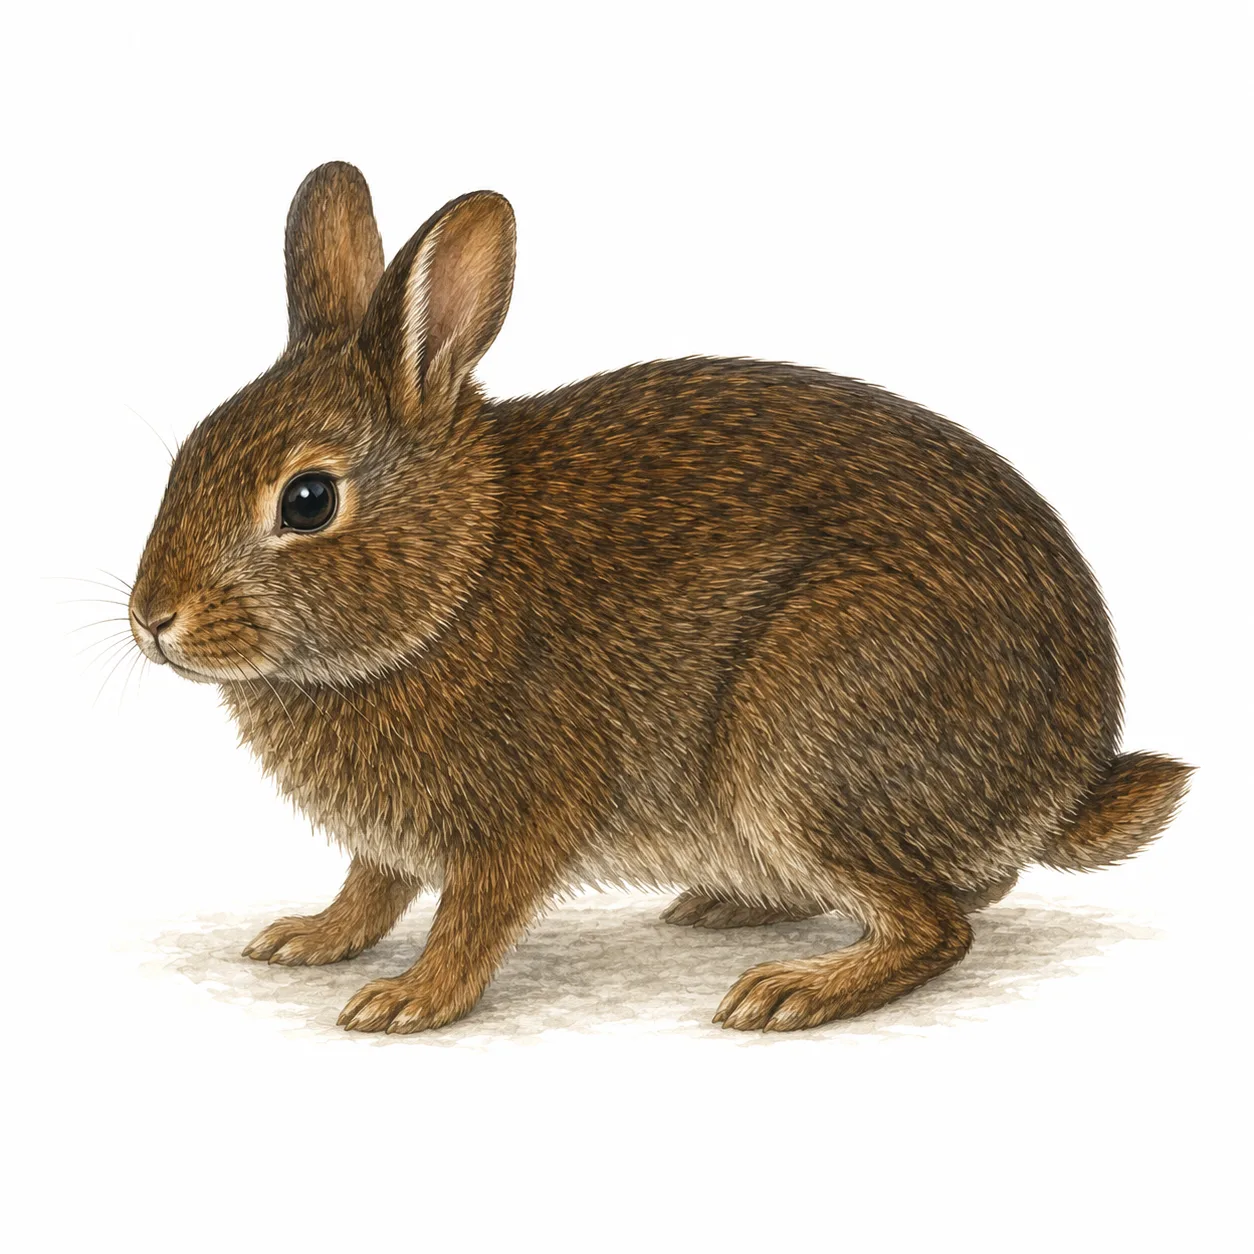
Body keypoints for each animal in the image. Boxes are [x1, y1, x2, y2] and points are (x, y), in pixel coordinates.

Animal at [128, 161, 1193, 1034]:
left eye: (308, 501)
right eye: (187, 456)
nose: (152, 620)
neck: (458, 577)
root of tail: (1062, 779)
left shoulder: (524, 811)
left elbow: (471, 915)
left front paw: (408, 1001)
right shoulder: (395, 838)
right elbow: (371, 887)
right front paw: (307, 938)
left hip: (809, 737)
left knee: (938, 925)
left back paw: (790, 991)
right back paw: (733, 909)